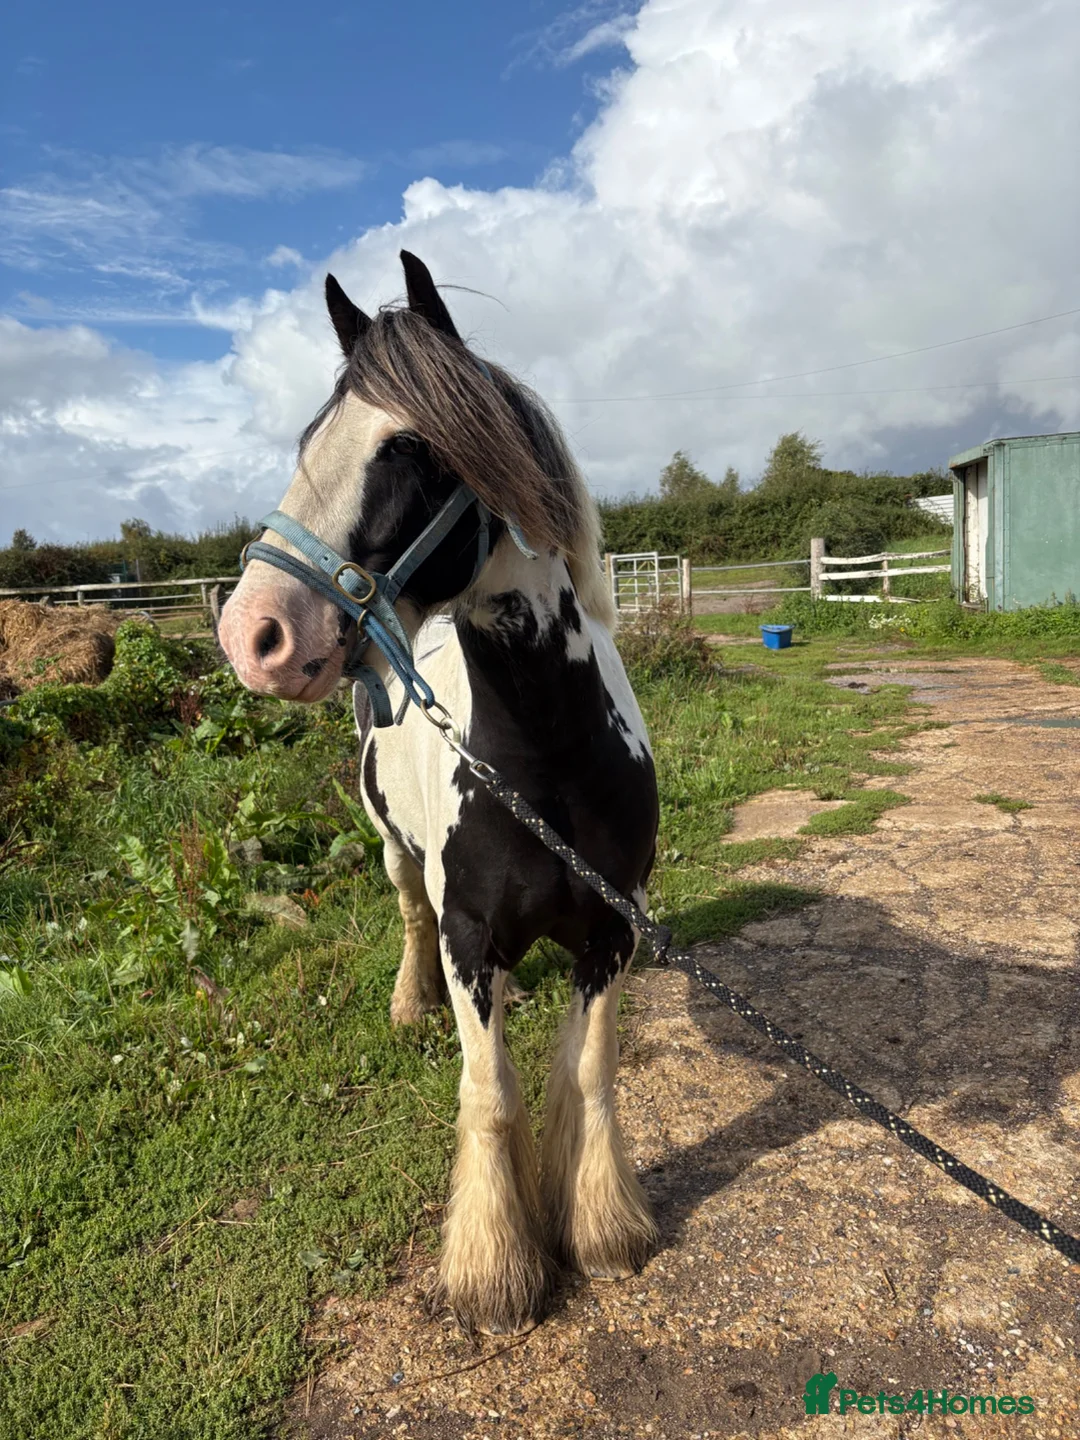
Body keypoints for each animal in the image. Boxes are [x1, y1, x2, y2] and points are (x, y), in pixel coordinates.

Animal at [218, 251, 660, 1334]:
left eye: (409, 448)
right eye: (307, 442)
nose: (253, 634)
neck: (549, 760)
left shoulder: (613, 931)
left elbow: (588, 1072)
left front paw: (603, 1228)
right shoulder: (470, 937)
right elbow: (489, 1092)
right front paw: (496, 1275)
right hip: (393, 851)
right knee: (410, 914)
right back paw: (407, 1004)